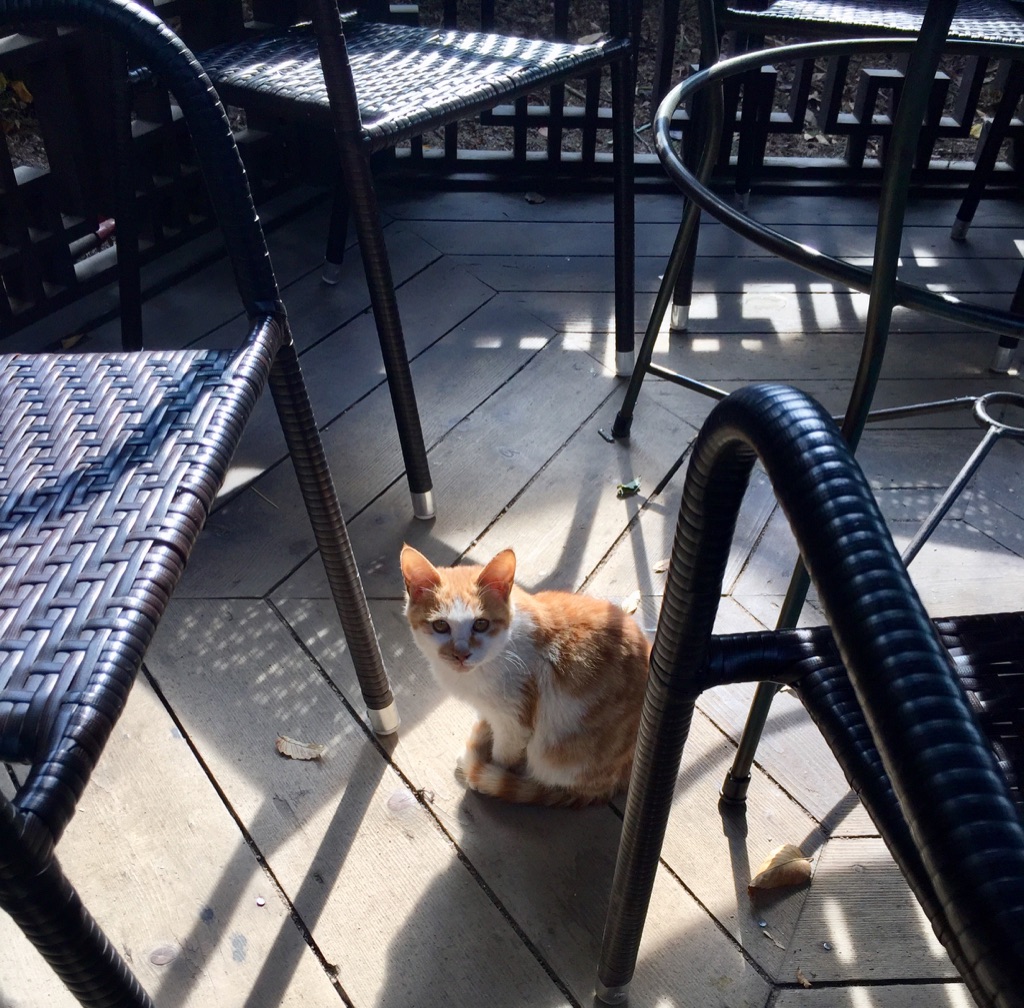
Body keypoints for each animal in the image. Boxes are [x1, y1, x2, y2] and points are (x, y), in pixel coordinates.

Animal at [400, 544, 651, 807]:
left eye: (481, 624)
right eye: (440, 626)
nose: (461, 654)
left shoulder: (514, 722)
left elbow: (503, 754)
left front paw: (487, 771)